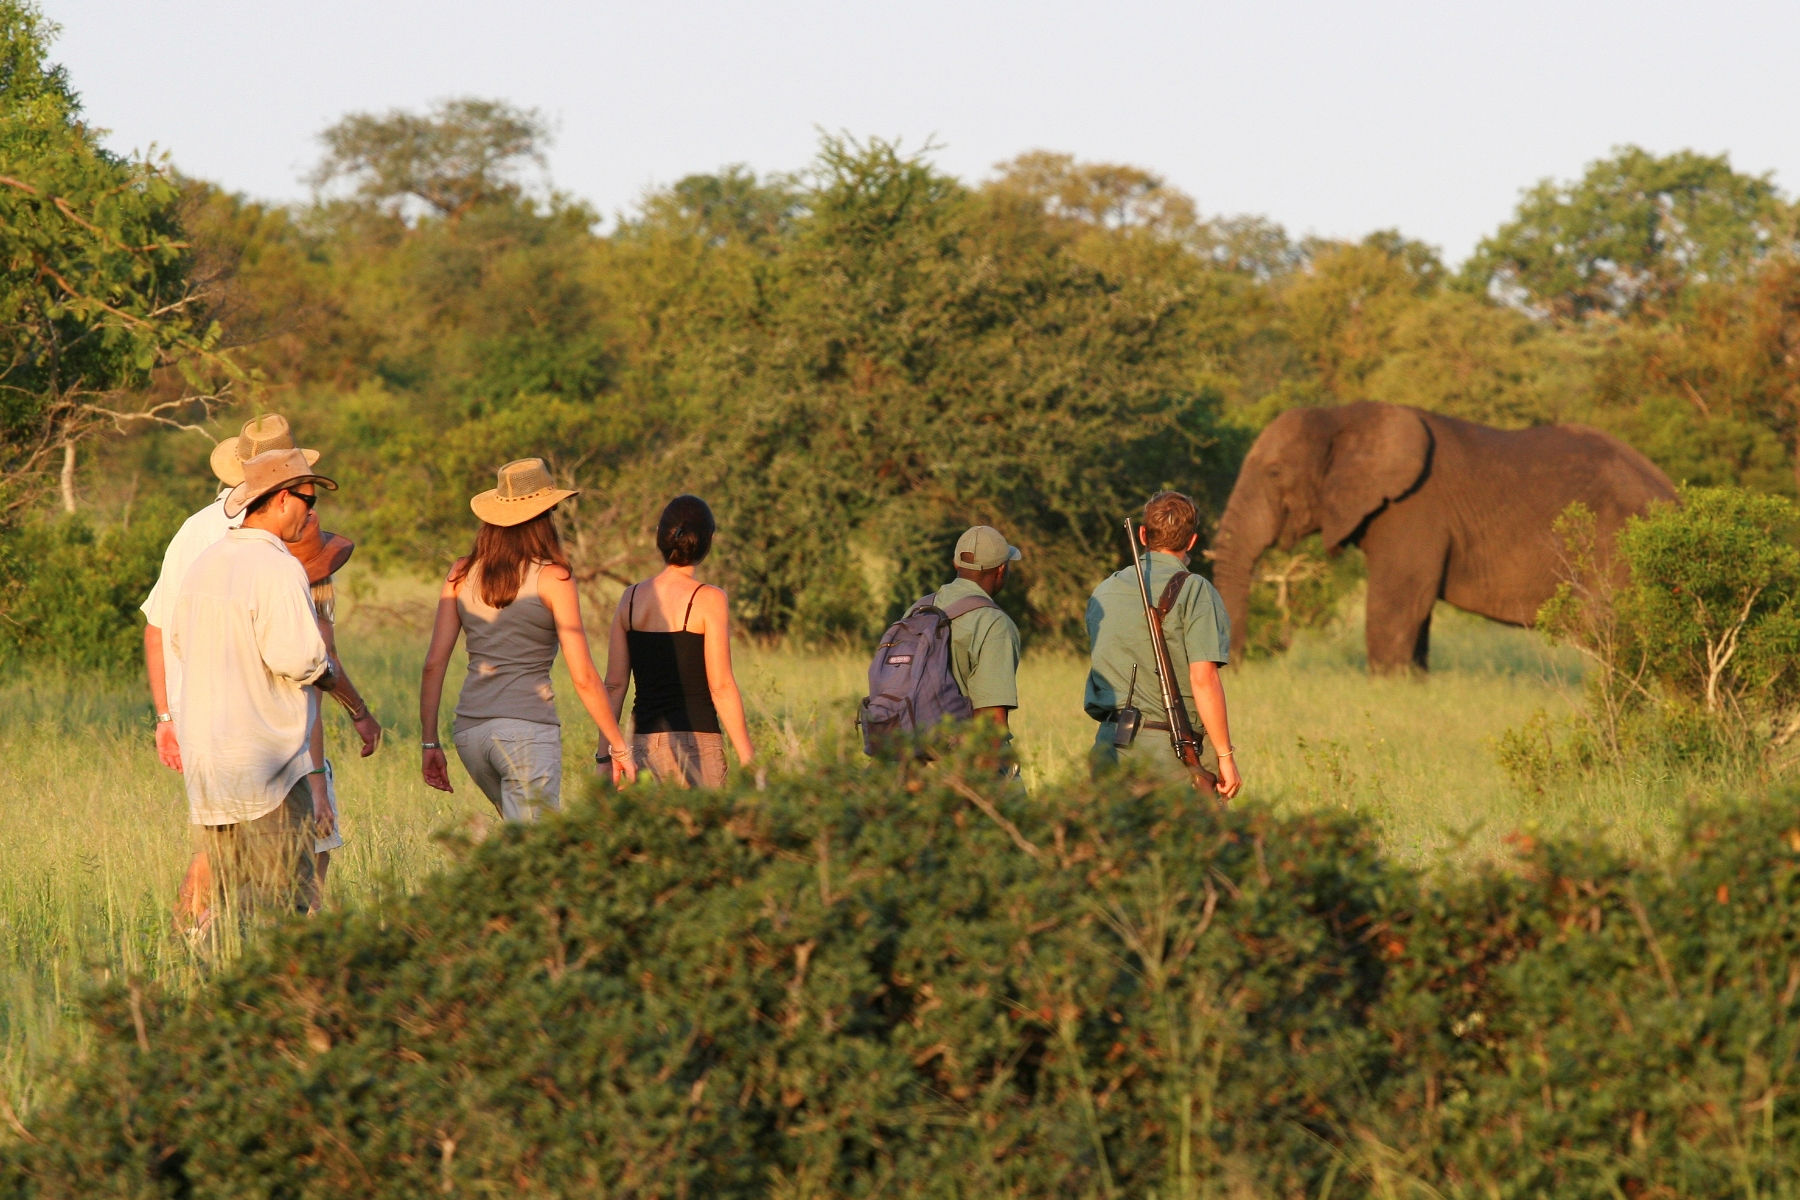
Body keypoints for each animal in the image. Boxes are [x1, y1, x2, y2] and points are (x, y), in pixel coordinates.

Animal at [1202, 402, 1677, 676]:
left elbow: (1396, 603)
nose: (1233, 668)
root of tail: (1674, 494)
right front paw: (1414, 683)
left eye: (1275, 473)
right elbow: (1416, 612)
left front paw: (1389, 685)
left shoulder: (1413, 510)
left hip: (1617, 545)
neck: (1346, 414)